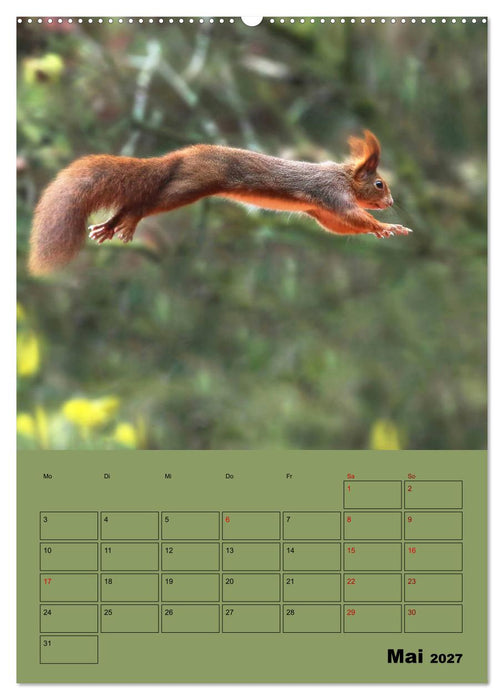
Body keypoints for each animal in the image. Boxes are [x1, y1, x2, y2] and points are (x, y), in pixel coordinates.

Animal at [28, 129, 411, 275]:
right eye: (379, 184)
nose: (391, 201)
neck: (345, 176)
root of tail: (183, 154)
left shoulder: (321, 210)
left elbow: (337, 225)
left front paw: (382, 228)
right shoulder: (331, 193)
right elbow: (351, 215)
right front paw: (386, 225)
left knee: (137, 200)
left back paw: (108, 226)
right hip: (189, 185)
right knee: (145, 204)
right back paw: (127, 221)